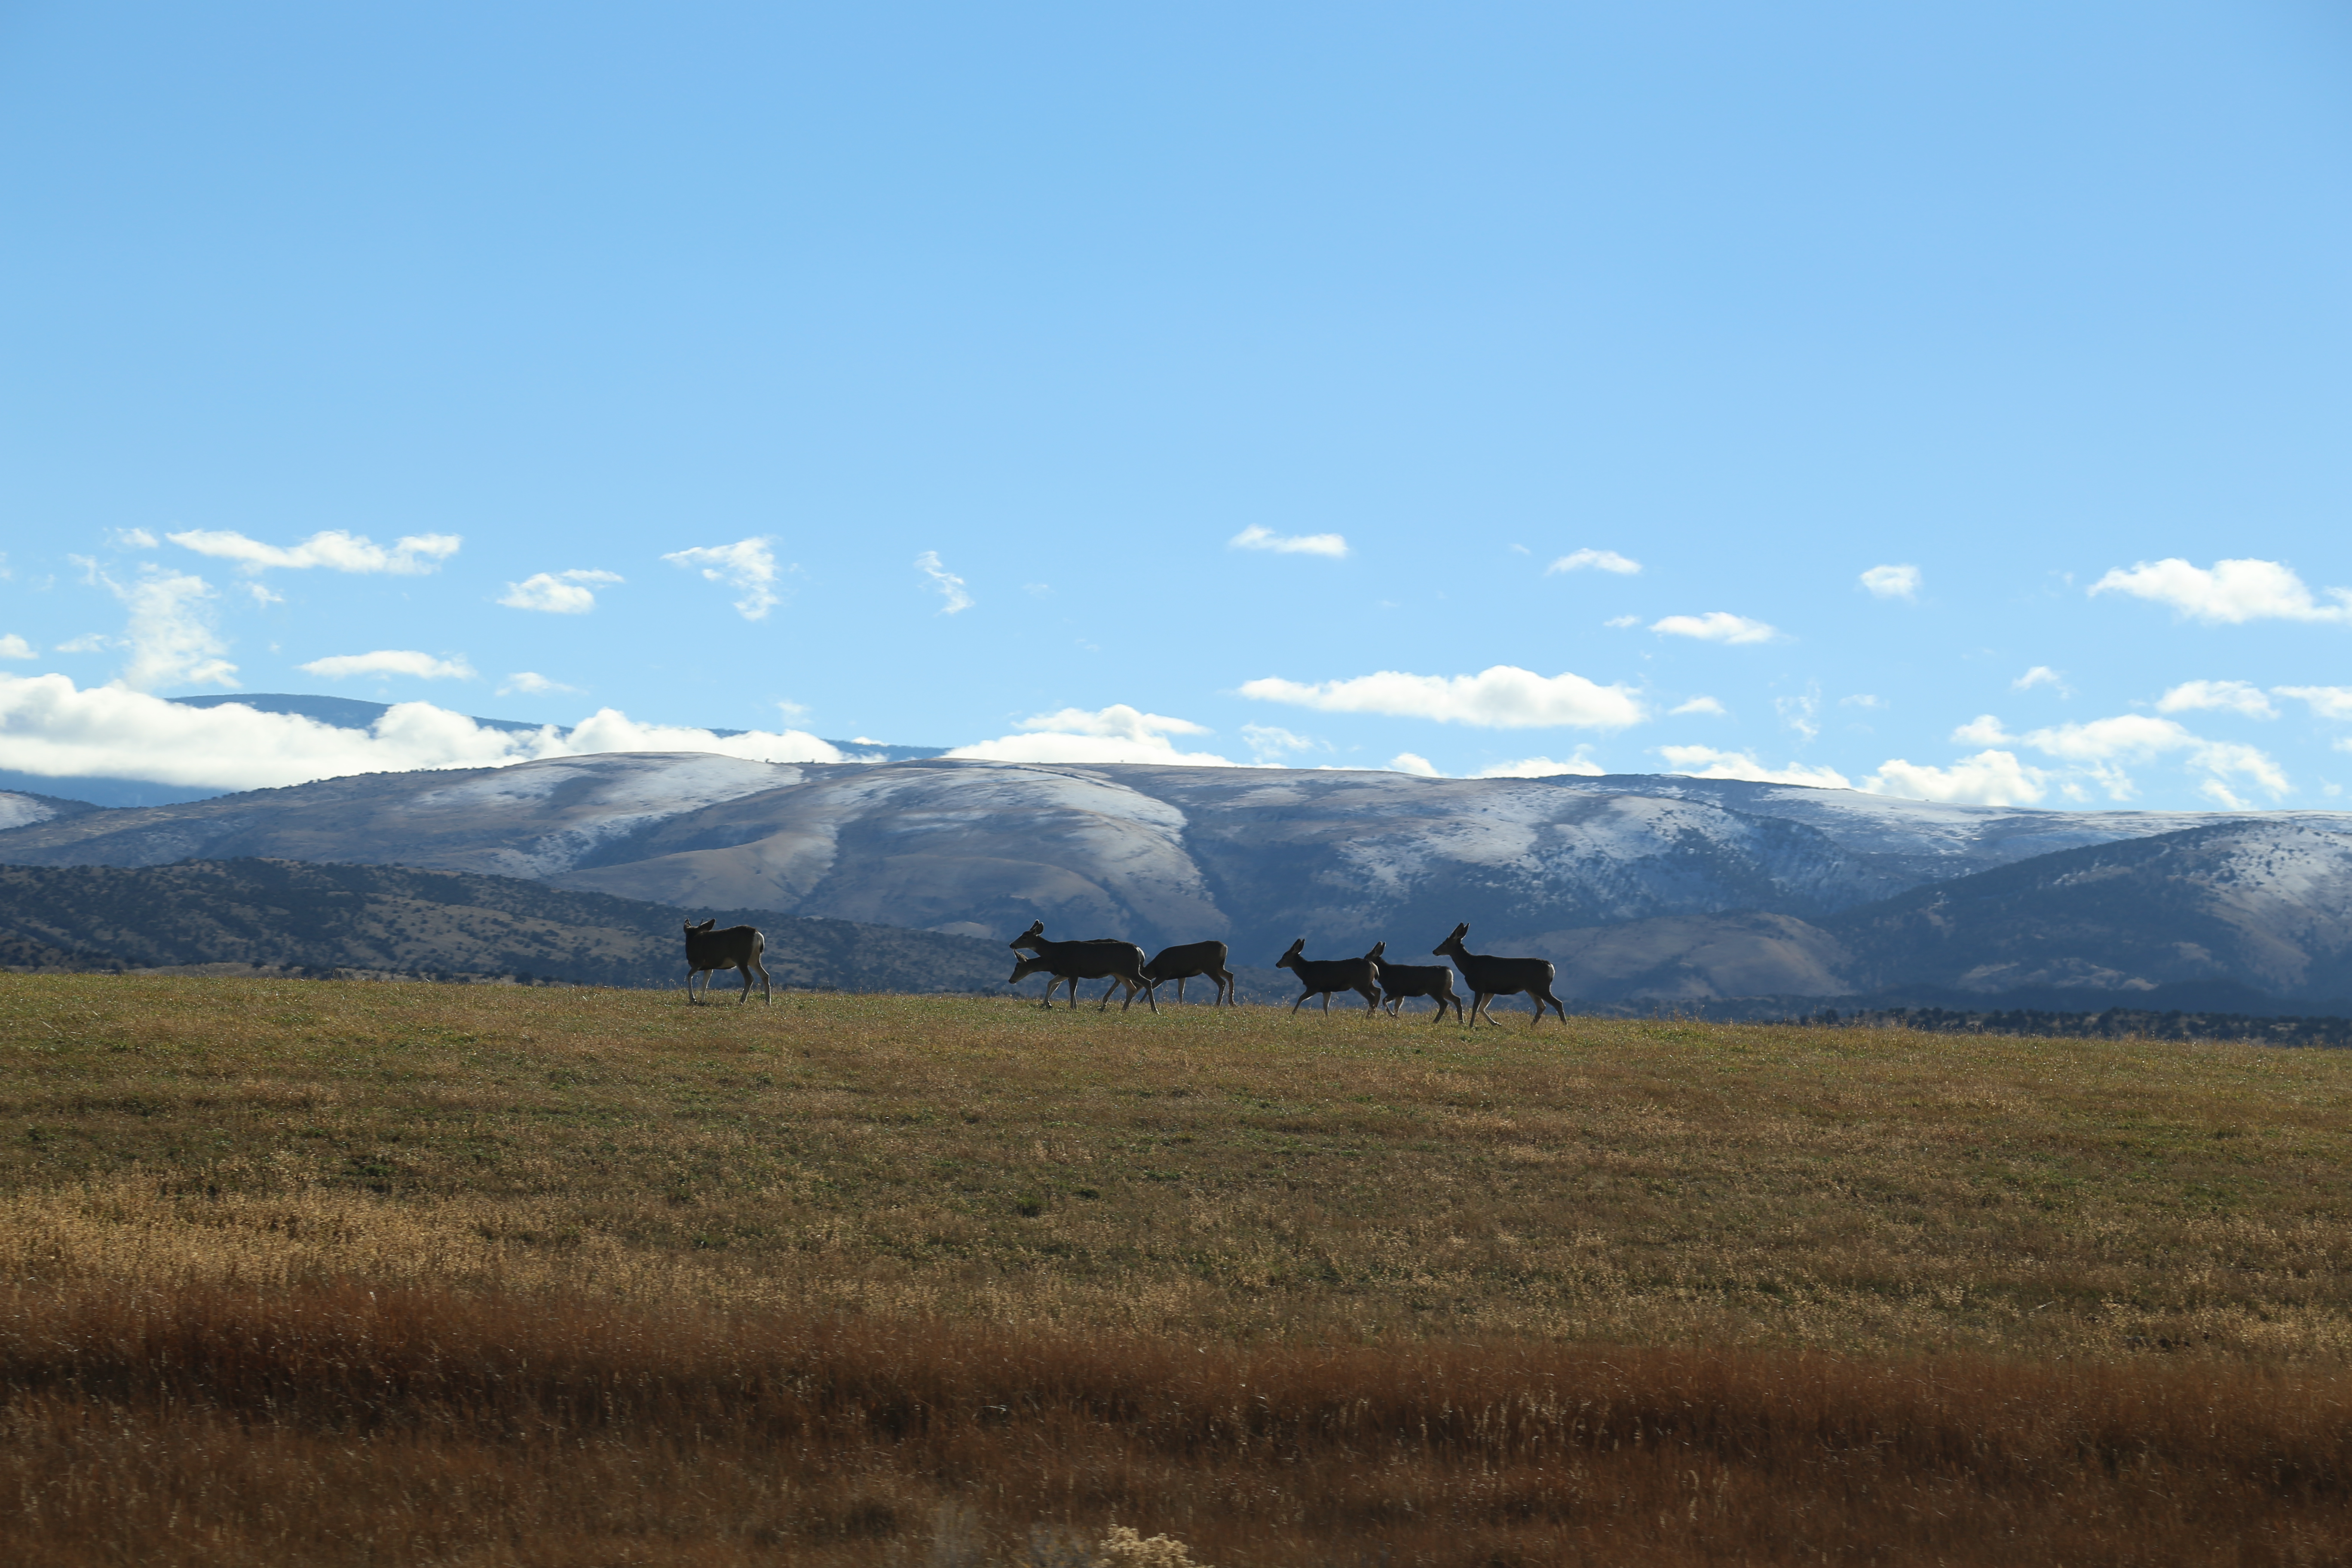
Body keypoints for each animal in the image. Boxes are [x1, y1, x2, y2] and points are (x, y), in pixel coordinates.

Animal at [682, 921, 771, 1006]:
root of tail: (757, 934)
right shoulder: (709, 967)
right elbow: (704, 984)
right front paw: (702, 1001)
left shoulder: (699, 962)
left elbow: (689, 976)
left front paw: (693, 999)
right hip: (754, 959)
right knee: (765, 975)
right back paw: (768, 1003)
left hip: (741, 958)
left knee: (749, 978)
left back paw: (741, 1002)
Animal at [1011, 921, 1157, 1020]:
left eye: (1024, 937)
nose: (1012, 944)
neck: (1055, 952)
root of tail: (1139, 951)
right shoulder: (1065, 973)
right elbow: (1054, 985)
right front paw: (1047, 1005)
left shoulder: (1073, 970)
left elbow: (1071, 989)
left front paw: (1071, 1007)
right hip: (1122, 972)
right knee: (1132, 987)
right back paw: (1124, 1009)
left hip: (1130, 970)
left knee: (1146, 982)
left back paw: (1154, 1009)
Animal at [1373, 940, 1458, 1025]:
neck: (1385, 974)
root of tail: (1449, 972)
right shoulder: (1401, 994)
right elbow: (1397, 1008)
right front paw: (1397, 1018)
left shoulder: (1396, 991)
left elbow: (1385, 1001)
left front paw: (1393, 1015)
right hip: (1445, 990)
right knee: (1456, 999)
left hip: (1435, 990)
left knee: (1444, 1004)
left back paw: (1436, 1021)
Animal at [1430, 921, 1562, 1029]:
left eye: (1444, 943)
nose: (1434, 951)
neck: (1469, 966)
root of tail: (1551, 967)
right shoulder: (1490, 990)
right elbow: (1482, 1008)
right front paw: (1496, 1024)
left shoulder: (1480, 986)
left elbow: (1475, 1007)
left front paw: (1471, 1025)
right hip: (1531, 989)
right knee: (1542, 1007)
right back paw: (1531, 1026)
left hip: (1541, 986)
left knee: (1557, 1003)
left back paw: (1563, 1025)